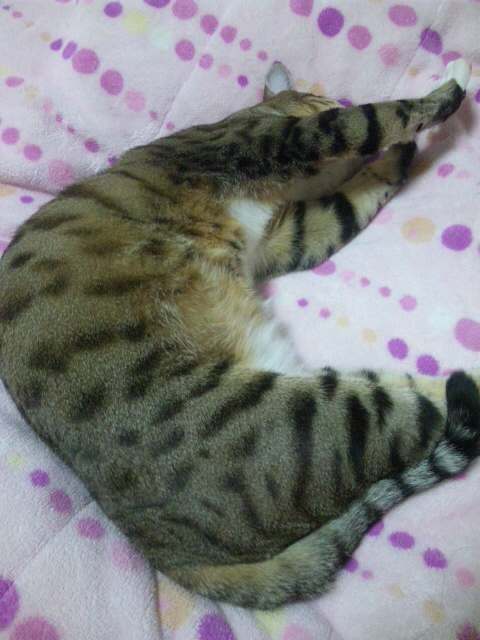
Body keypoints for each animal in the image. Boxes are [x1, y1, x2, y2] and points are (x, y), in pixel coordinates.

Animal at [0, 59, 479, 609]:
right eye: (324, 98)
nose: (333, 97)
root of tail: (168, 557)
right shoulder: (267, 143)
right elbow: (376, 119)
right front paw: (452, 85)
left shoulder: (287, 234)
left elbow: (349, 200)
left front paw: (400, 153)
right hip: (316, 418)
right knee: (426, 413)